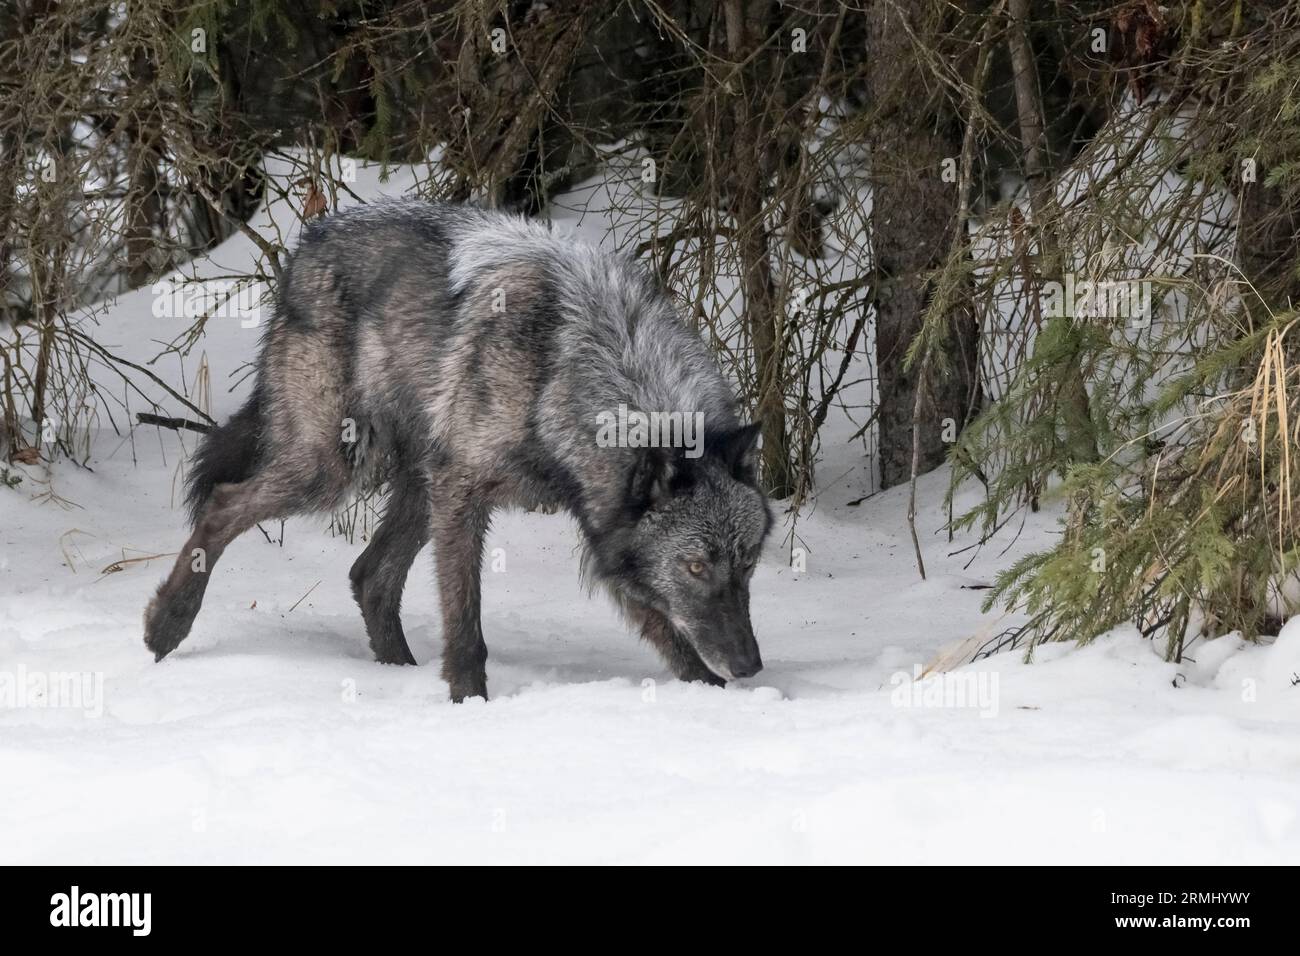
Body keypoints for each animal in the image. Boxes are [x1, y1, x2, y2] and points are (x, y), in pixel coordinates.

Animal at [143, 200, 772, 701]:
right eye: (695, 566)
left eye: (748, 563)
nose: (749, 665)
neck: (569, 366)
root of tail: (309, 242)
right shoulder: (462, 491)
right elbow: (466, 623)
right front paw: (469, 703)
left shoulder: (601, 523)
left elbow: (667, 630)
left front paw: (710, 696)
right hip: (333, 470)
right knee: (224, 505)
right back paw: (166, 625)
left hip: (411, 483)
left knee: (370, 575)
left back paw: (397, 672)